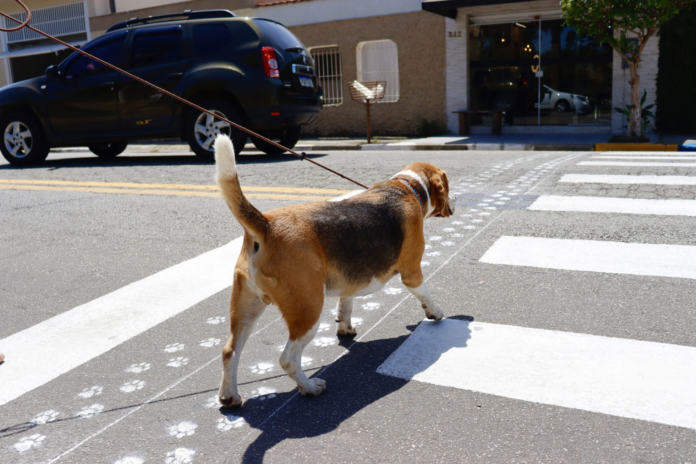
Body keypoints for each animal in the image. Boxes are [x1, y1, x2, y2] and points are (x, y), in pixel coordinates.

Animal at [216, 135, 456, 406]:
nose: (456, 201)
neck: (406, 187)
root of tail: (266, 225)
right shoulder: (412, 272)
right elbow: (426, 294)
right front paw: (435, 312)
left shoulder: (349, 280)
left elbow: (346, 304)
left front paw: (345, 328)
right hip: (308, 310)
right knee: (288, 359)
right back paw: (310, 387)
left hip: (247, 307)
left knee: (230, 351)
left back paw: (229, 396)